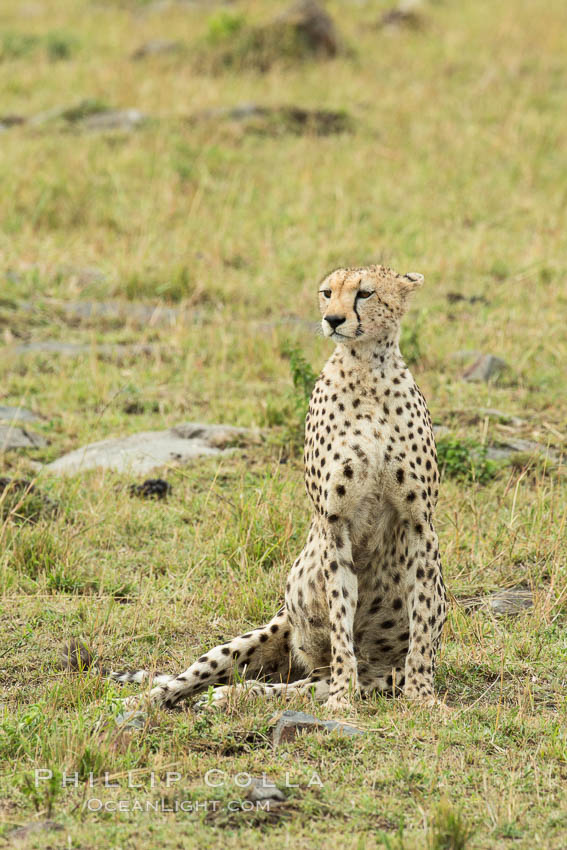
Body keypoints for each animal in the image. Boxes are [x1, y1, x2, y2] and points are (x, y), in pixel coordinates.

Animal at [104, 264, 446, 708]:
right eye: (327, 292)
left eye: (365, 293)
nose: (333, 320)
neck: (367, 368)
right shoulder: (334, 524)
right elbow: (341, 619)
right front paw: (343, 702)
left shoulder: (419, 522)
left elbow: (422, 618)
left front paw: (422, 698)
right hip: (257, 637)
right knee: (191, 677)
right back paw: (142, 702)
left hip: (360, 677)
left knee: (291, 688)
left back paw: (230, 696)